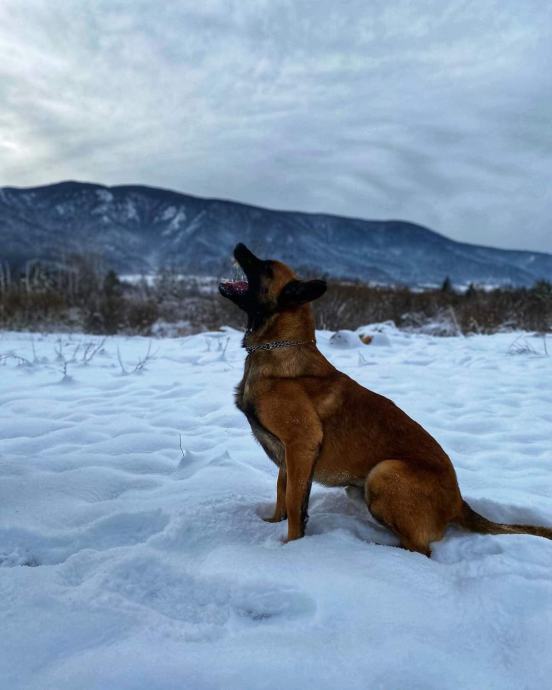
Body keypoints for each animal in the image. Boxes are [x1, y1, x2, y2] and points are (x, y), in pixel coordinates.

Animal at [220, 243, 552, 552]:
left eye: (266, 267)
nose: (239, 246)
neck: (277, 350)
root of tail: (458, 503)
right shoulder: (287, 458)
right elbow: (282, 494)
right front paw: (272, 524)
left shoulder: (301, 446)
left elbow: (293, 502)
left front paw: (290, 546)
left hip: (384, 472)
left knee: (419, 548)